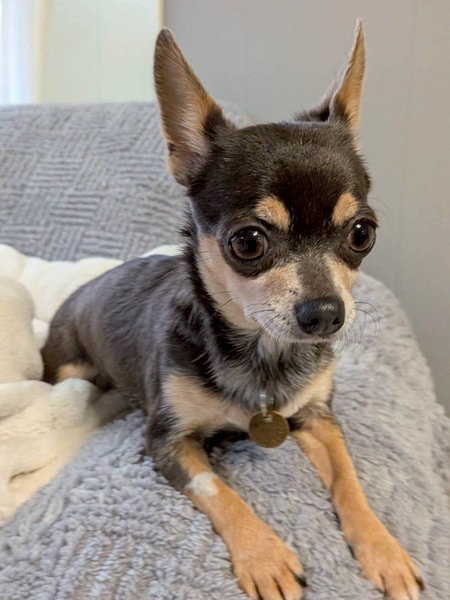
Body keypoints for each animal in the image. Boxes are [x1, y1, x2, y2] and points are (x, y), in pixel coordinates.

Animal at [42, 20, 423, 600]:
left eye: (363, 233)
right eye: (248, 243)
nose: (326, 313)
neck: (264, 358)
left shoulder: (318, 417)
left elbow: (350, 478)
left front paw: (383, 549)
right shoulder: (167, 441)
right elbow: (219, 490)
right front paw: (265, 556)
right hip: (68, 368)